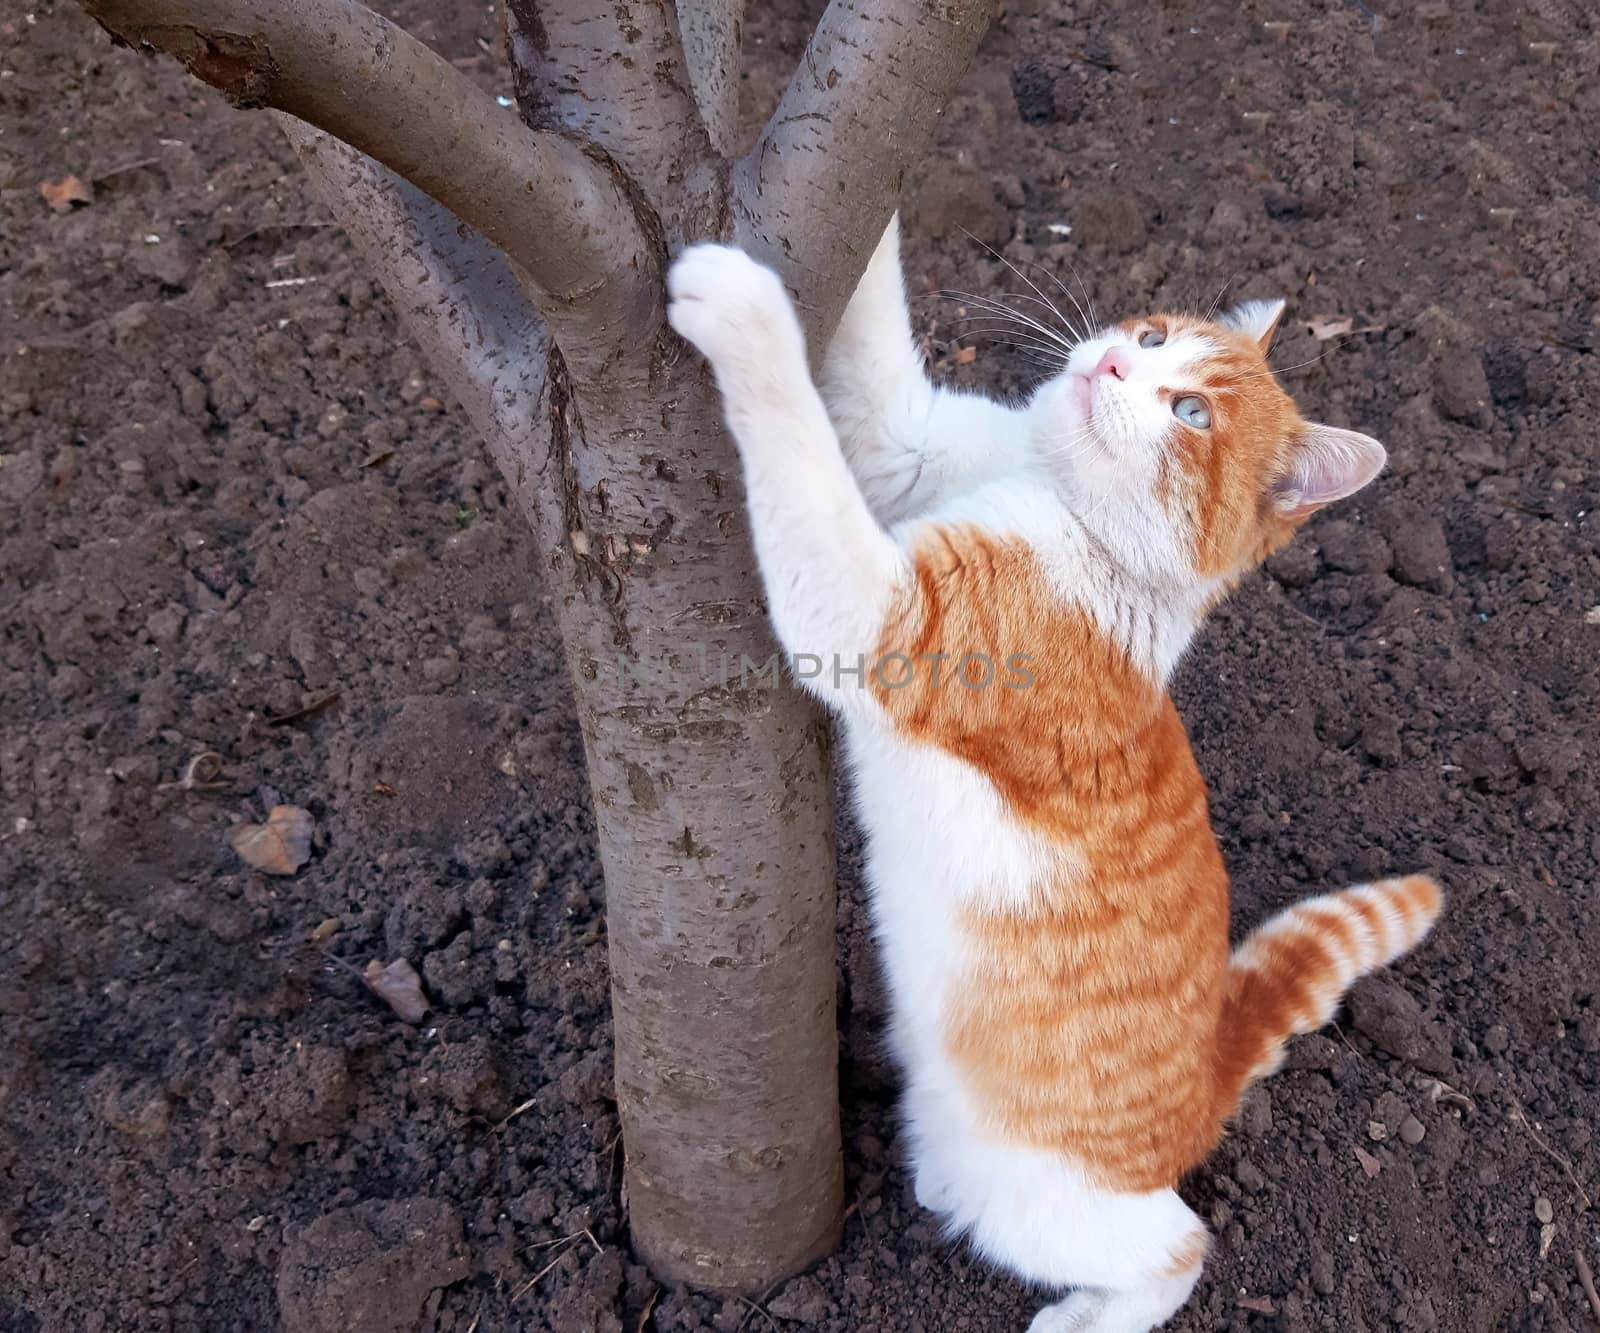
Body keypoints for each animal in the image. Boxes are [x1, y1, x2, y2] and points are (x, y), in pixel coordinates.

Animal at [668, 220, 1446, 1331]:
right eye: (1152, 334)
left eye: (1191, 412)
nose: (1113, 362)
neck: (1059, 497)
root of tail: (1210, 1067)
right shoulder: (905, 444)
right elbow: (873, 349)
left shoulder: (887, 621)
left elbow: (802, 443)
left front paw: (742, 306)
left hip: (1036, 1198)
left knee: (1181, 1248)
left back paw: (1081, 1316)